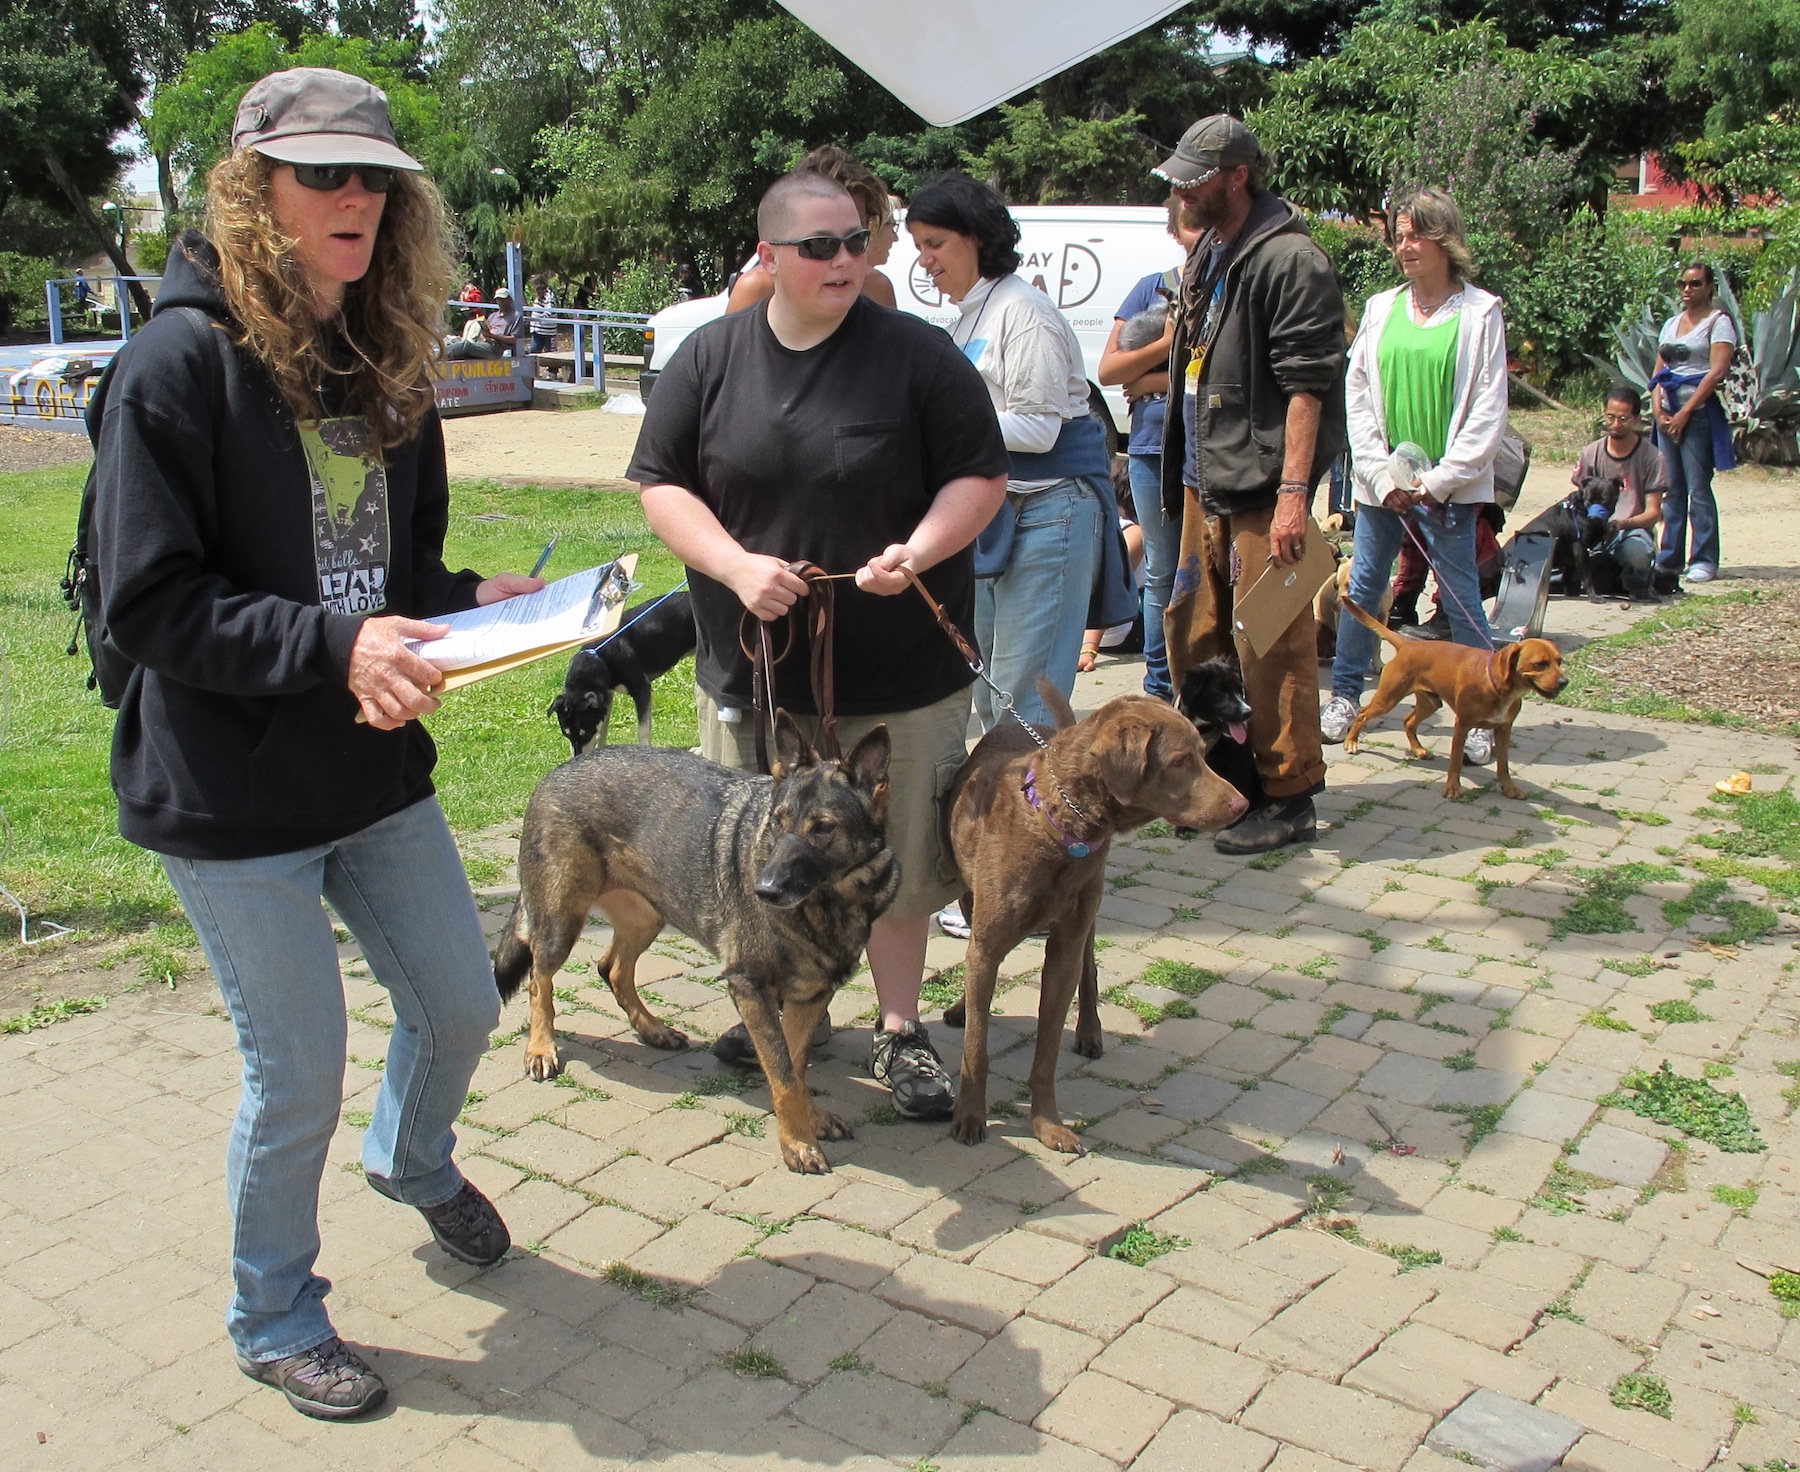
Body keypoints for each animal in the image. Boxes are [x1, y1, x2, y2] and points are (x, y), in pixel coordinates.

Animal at [496, 712, 896, 1173]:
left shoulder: (810, 997)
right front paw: (797, 1143)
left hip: (648, 917)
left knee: (612, 968)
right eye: (777, 822)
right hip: (561, 924)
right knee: (538, 980)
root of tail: (561, 768)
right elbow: (783, 1074)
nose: (764, 890)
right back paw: (541, 1048)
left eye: (824, 828)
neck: (828, 902)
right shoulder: (750, 988)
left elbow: (795, 1066)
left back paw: (652, 1029)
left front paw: (807, 1123)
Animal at [543, 586, 691, 752]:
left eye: (585, 733)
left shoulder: (642, 689)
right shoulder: (606, 695)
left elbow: (642, 731)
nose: (578, 756)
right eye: (566, 733)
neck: (600, 657)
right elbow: (602, 730)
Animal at [1166, 655, 1267, 809]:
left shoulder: (1237, 759)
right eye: (1220, 694)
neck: (1203, 727)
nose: (1248, 712)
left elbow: (1240, 787)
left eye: (1240, 690)